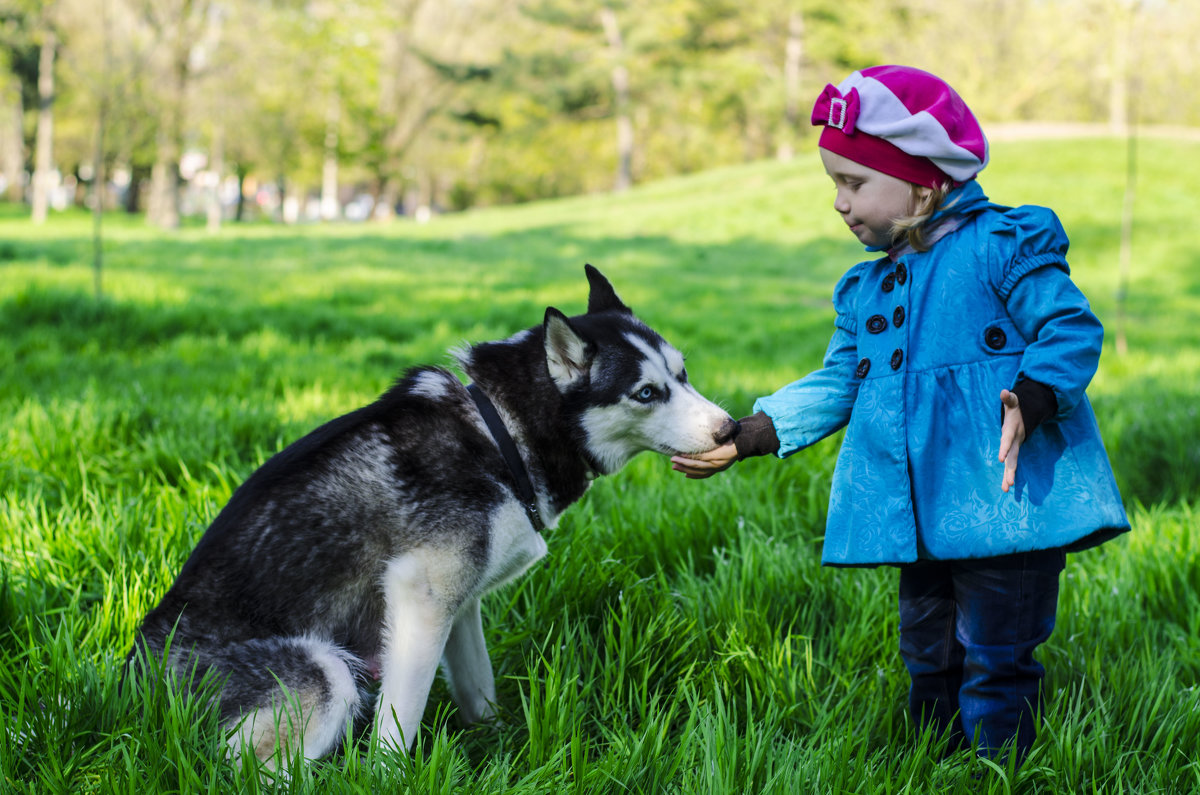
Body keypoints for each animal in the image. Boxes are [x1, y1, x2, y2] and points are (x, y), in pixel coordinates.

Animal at [126, 266, 734, 768]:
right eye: (646, 392)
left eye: (683, 374)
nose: (729, 428)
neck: (501, 433)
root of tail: (129, 677)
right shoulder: (420, 594)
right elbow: (401, 722)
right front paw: (388, 776)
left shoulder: (457, 606)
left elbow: (480, 691)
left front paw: (499, 748)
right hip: (326, 671)